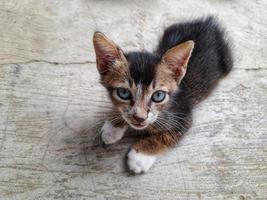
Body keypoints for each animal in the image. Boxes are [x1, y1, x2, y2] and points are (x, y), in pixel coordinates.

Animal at [93, 16, 233, 174]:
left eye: (158, 96)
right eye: (123, 93)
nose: (139, 118)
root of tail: (209, 22)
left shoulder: (183, 116)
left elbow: (166, 136)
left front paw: (140, 157)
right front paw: (113, 126)